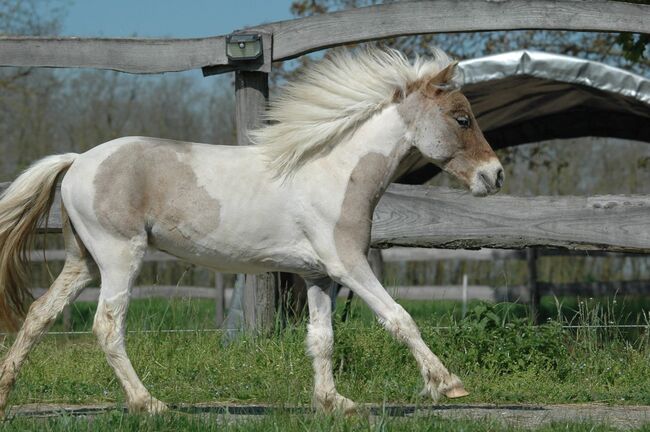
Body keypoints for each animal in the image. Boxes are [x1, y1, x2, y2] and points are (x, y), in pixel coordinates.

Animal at [0, 49, 502, 414]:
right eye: (462, 118)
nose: (494, 176)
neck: (335, 171)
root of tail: (77, 162)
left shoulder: (319, 275)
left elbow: (321, 339)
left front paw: (333, 402)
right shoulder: (348, 265)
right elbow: (399, 317)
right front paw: (449, 385)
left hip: (83, 262)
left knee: (39, 315)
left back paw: (6, 393)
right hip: (119, 257)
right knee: (107, 325)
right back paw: (149, 404)